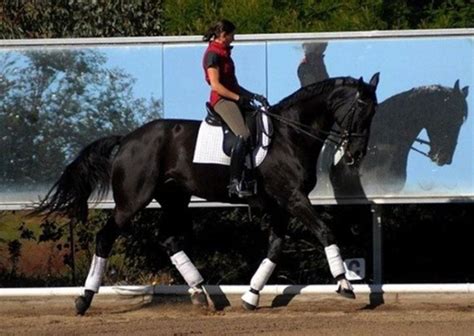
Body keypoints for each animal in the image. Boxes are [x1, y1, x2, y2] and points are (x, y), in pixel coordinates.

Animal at [35, 74, 380, 316]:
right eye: (360, 110)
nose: (357, 154)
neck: (290, 133)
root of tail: (128, 139)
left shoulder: (280, 205)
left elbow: (275, 248)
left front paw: (251, 296)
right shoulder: (293, 198)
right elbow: (324, 231)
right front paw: (344, 283)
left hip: (175, 198)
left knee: (169, 240)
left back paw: (201, 293)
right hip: (132, 201)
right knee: (106, 238)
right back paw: (84, 300)